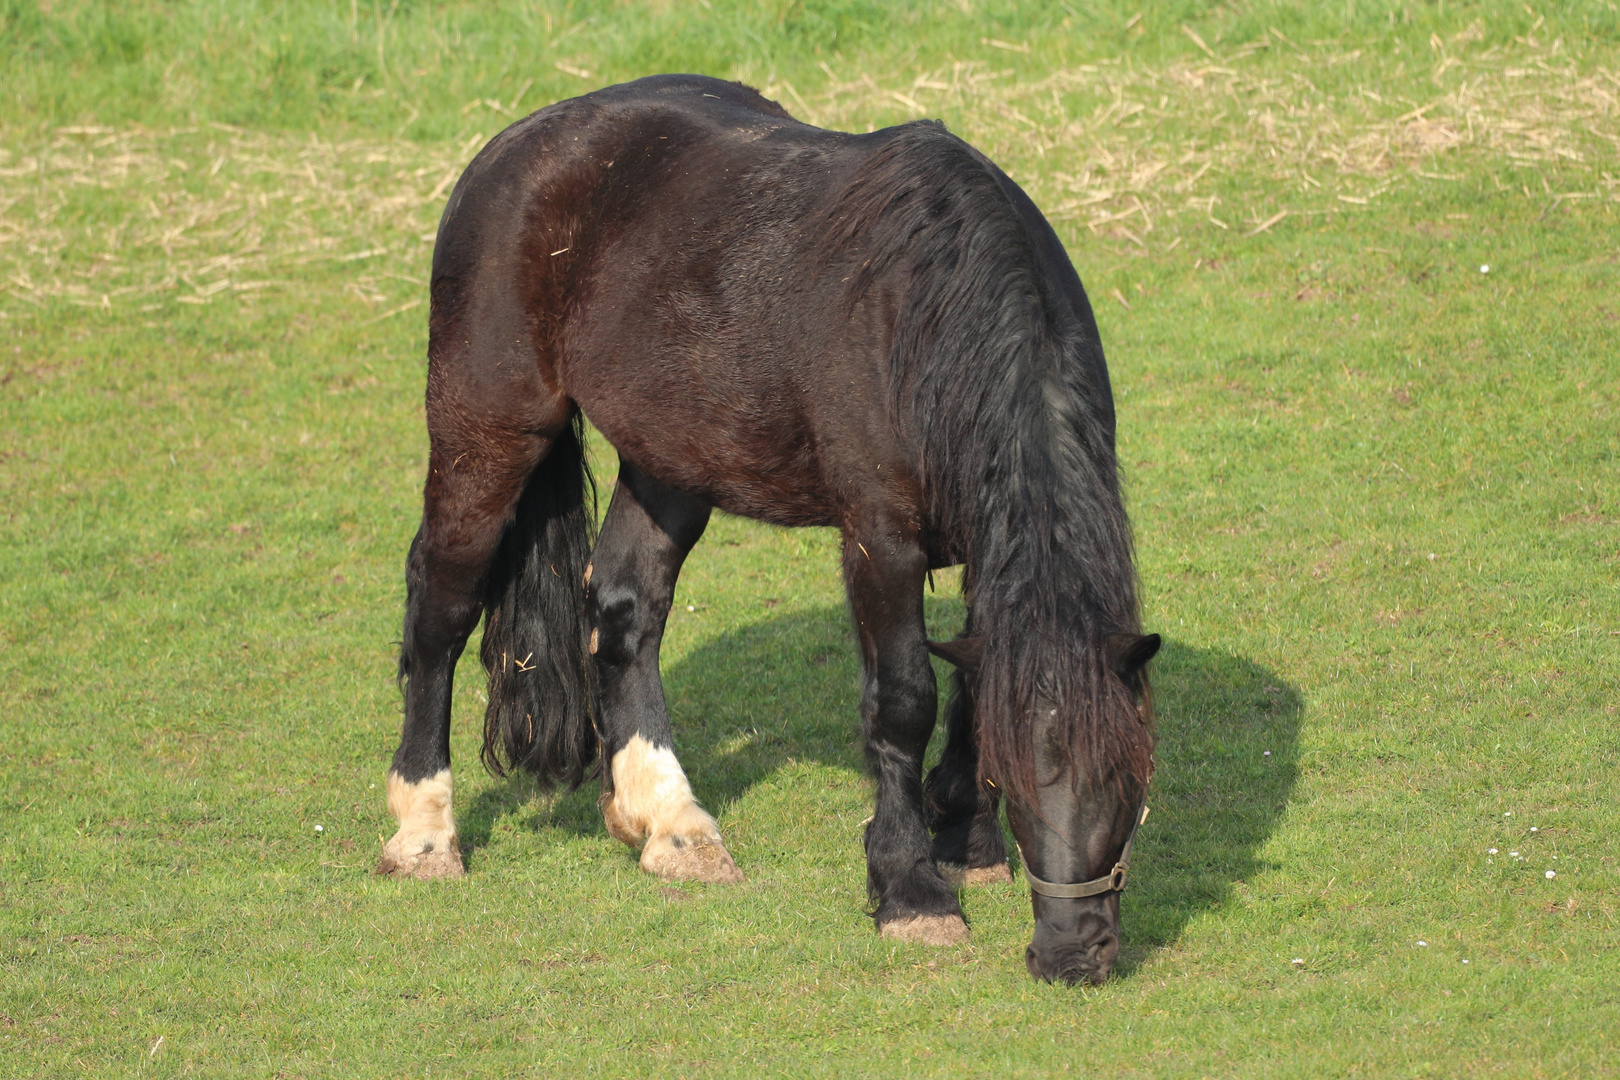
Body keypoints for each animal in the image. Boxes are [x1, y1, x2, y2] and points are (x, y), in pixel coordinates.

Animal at [375, 74, 1166, 990]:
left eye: (1130, 771)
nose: (1074, 953)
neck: (929, 313)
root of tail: (513, 146)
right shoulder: (881, 539)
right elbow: (905, 701)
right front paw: (910, 890)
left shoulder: (982, 545)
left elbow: (974, 686)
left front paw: (966, 837)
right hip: (489, 435)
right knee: (441, 607)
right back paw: (425, 831)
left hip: (670, 462)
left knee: (625, 607)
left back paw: (671, 822)